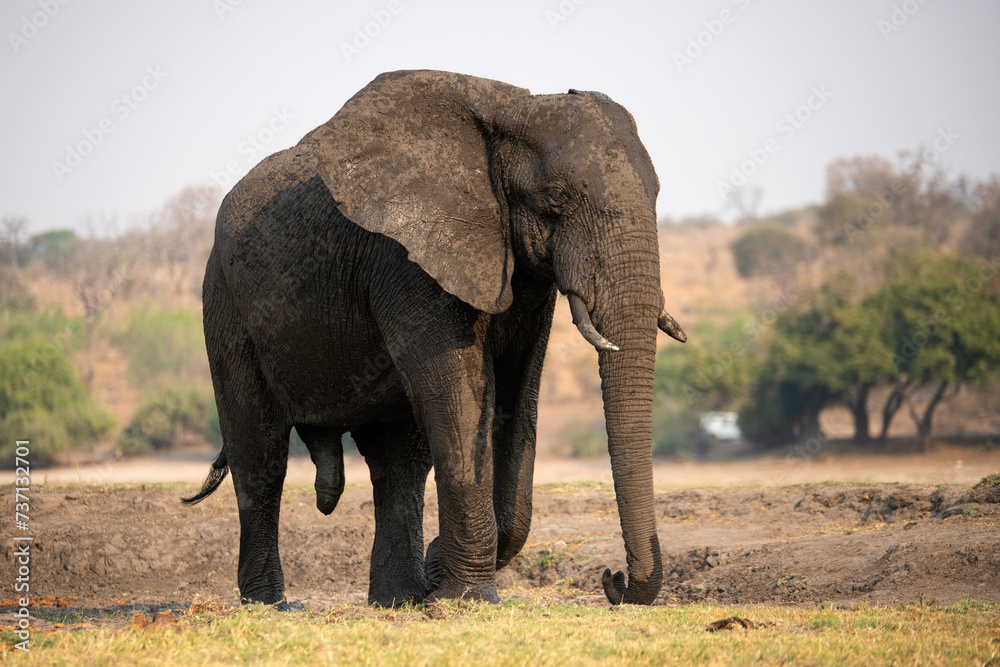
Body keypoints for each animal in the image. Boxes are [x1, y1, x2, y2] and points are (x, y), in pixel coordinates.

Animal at [183, 70, 686, 608]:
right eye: (555, 201)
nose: (614, 579)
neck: (511, 111)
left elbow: (517, 400)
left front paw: (441, 578)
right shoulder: (407, 260)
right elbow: (462, 396)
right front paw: (467, 598)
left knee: (397, 462)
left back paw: (398, 600)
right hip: (224, 300)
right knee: (260, 453)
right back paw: (272, 604)